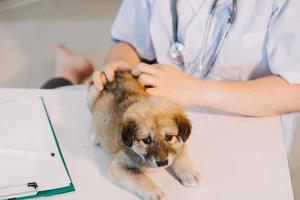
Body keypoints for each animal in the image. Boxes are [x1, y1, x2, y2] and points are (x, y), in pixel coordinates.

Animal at [86, 71, 200, 199]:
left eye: (169, 137)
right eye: (146, 140)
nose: (162, 163)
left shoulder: (181, 143)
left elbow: (182, 157)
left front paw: (190, 174)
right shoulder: (118, 166)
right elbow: (139, 176)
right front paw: (154, 191)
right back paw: (95, 138)